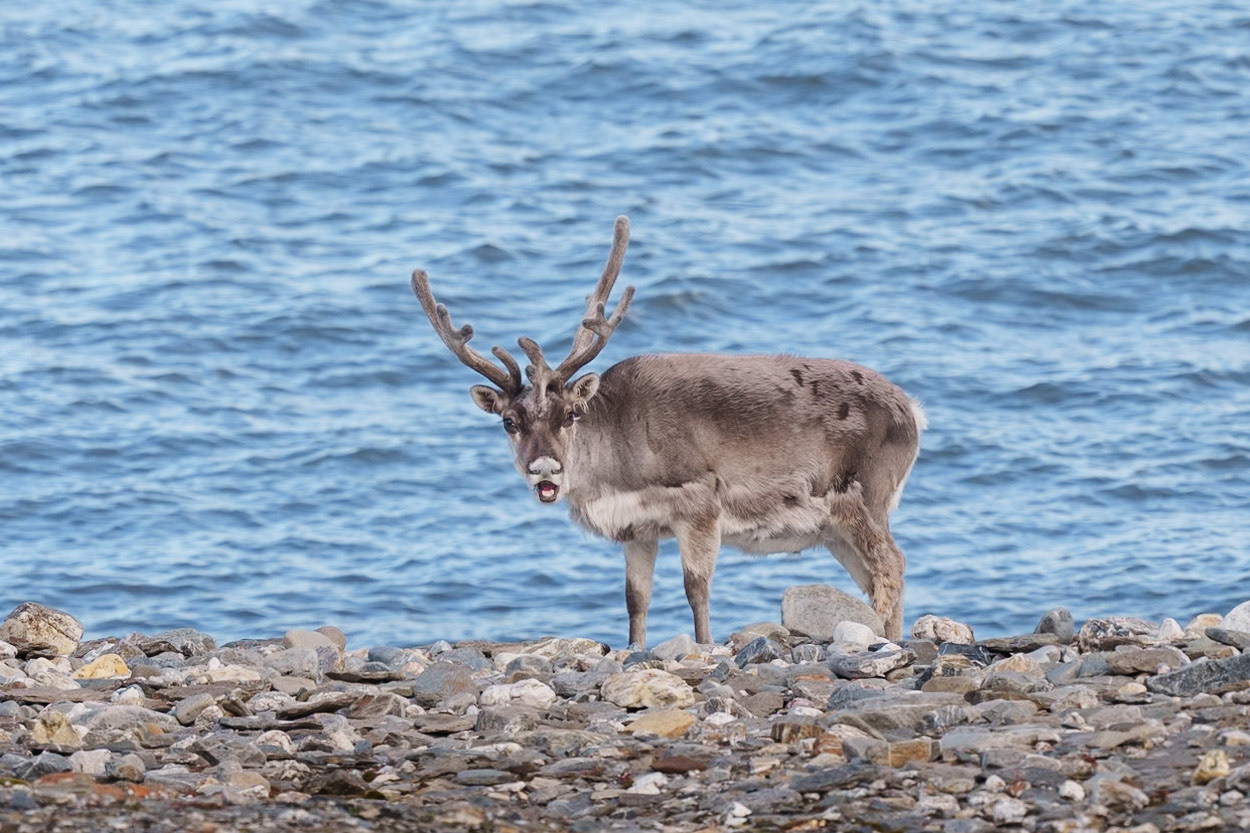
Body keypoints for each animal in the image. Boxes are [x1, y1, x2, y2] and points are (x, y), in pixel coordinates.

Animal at [410, 216, 925, 645]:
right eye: (509, 422)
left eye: (570, 414)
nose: (544, 468)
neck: (613, 468)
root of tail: (913, 411)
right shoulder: (637, 526)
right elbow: (635, 599)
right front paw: (635, 648)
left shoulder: (699, 500)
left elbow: (696, 587)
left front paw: (705, 644)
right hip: (834, 527)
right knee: (874, 575)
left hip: (866, 494)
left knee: (892, 565)